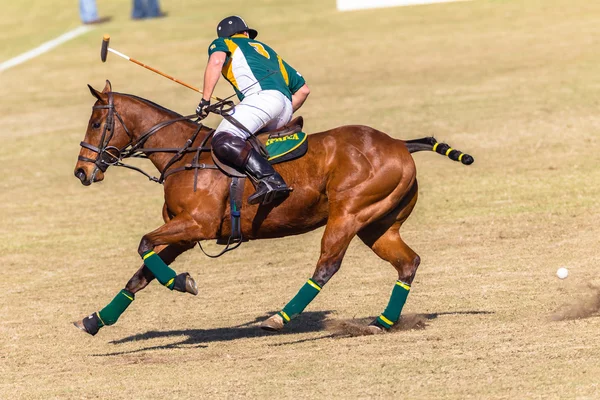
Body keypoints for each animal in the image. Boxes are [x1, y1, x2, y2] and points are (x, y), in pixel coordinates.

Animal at [71, 79, 474, 336]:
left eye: (96, 122)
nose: (82, 171)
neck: (183, 155)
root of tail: (401, 144)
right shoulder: (185, 234)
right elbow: (140, 275)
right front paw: (94, 320)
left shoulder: (198, 224)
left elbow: (143, 245)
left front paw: (182, 282)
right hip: (378, 224)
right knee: (408, 263)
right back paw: (381, 323)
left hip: (349, 214)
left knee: (327, 266)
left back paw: (281, 317)